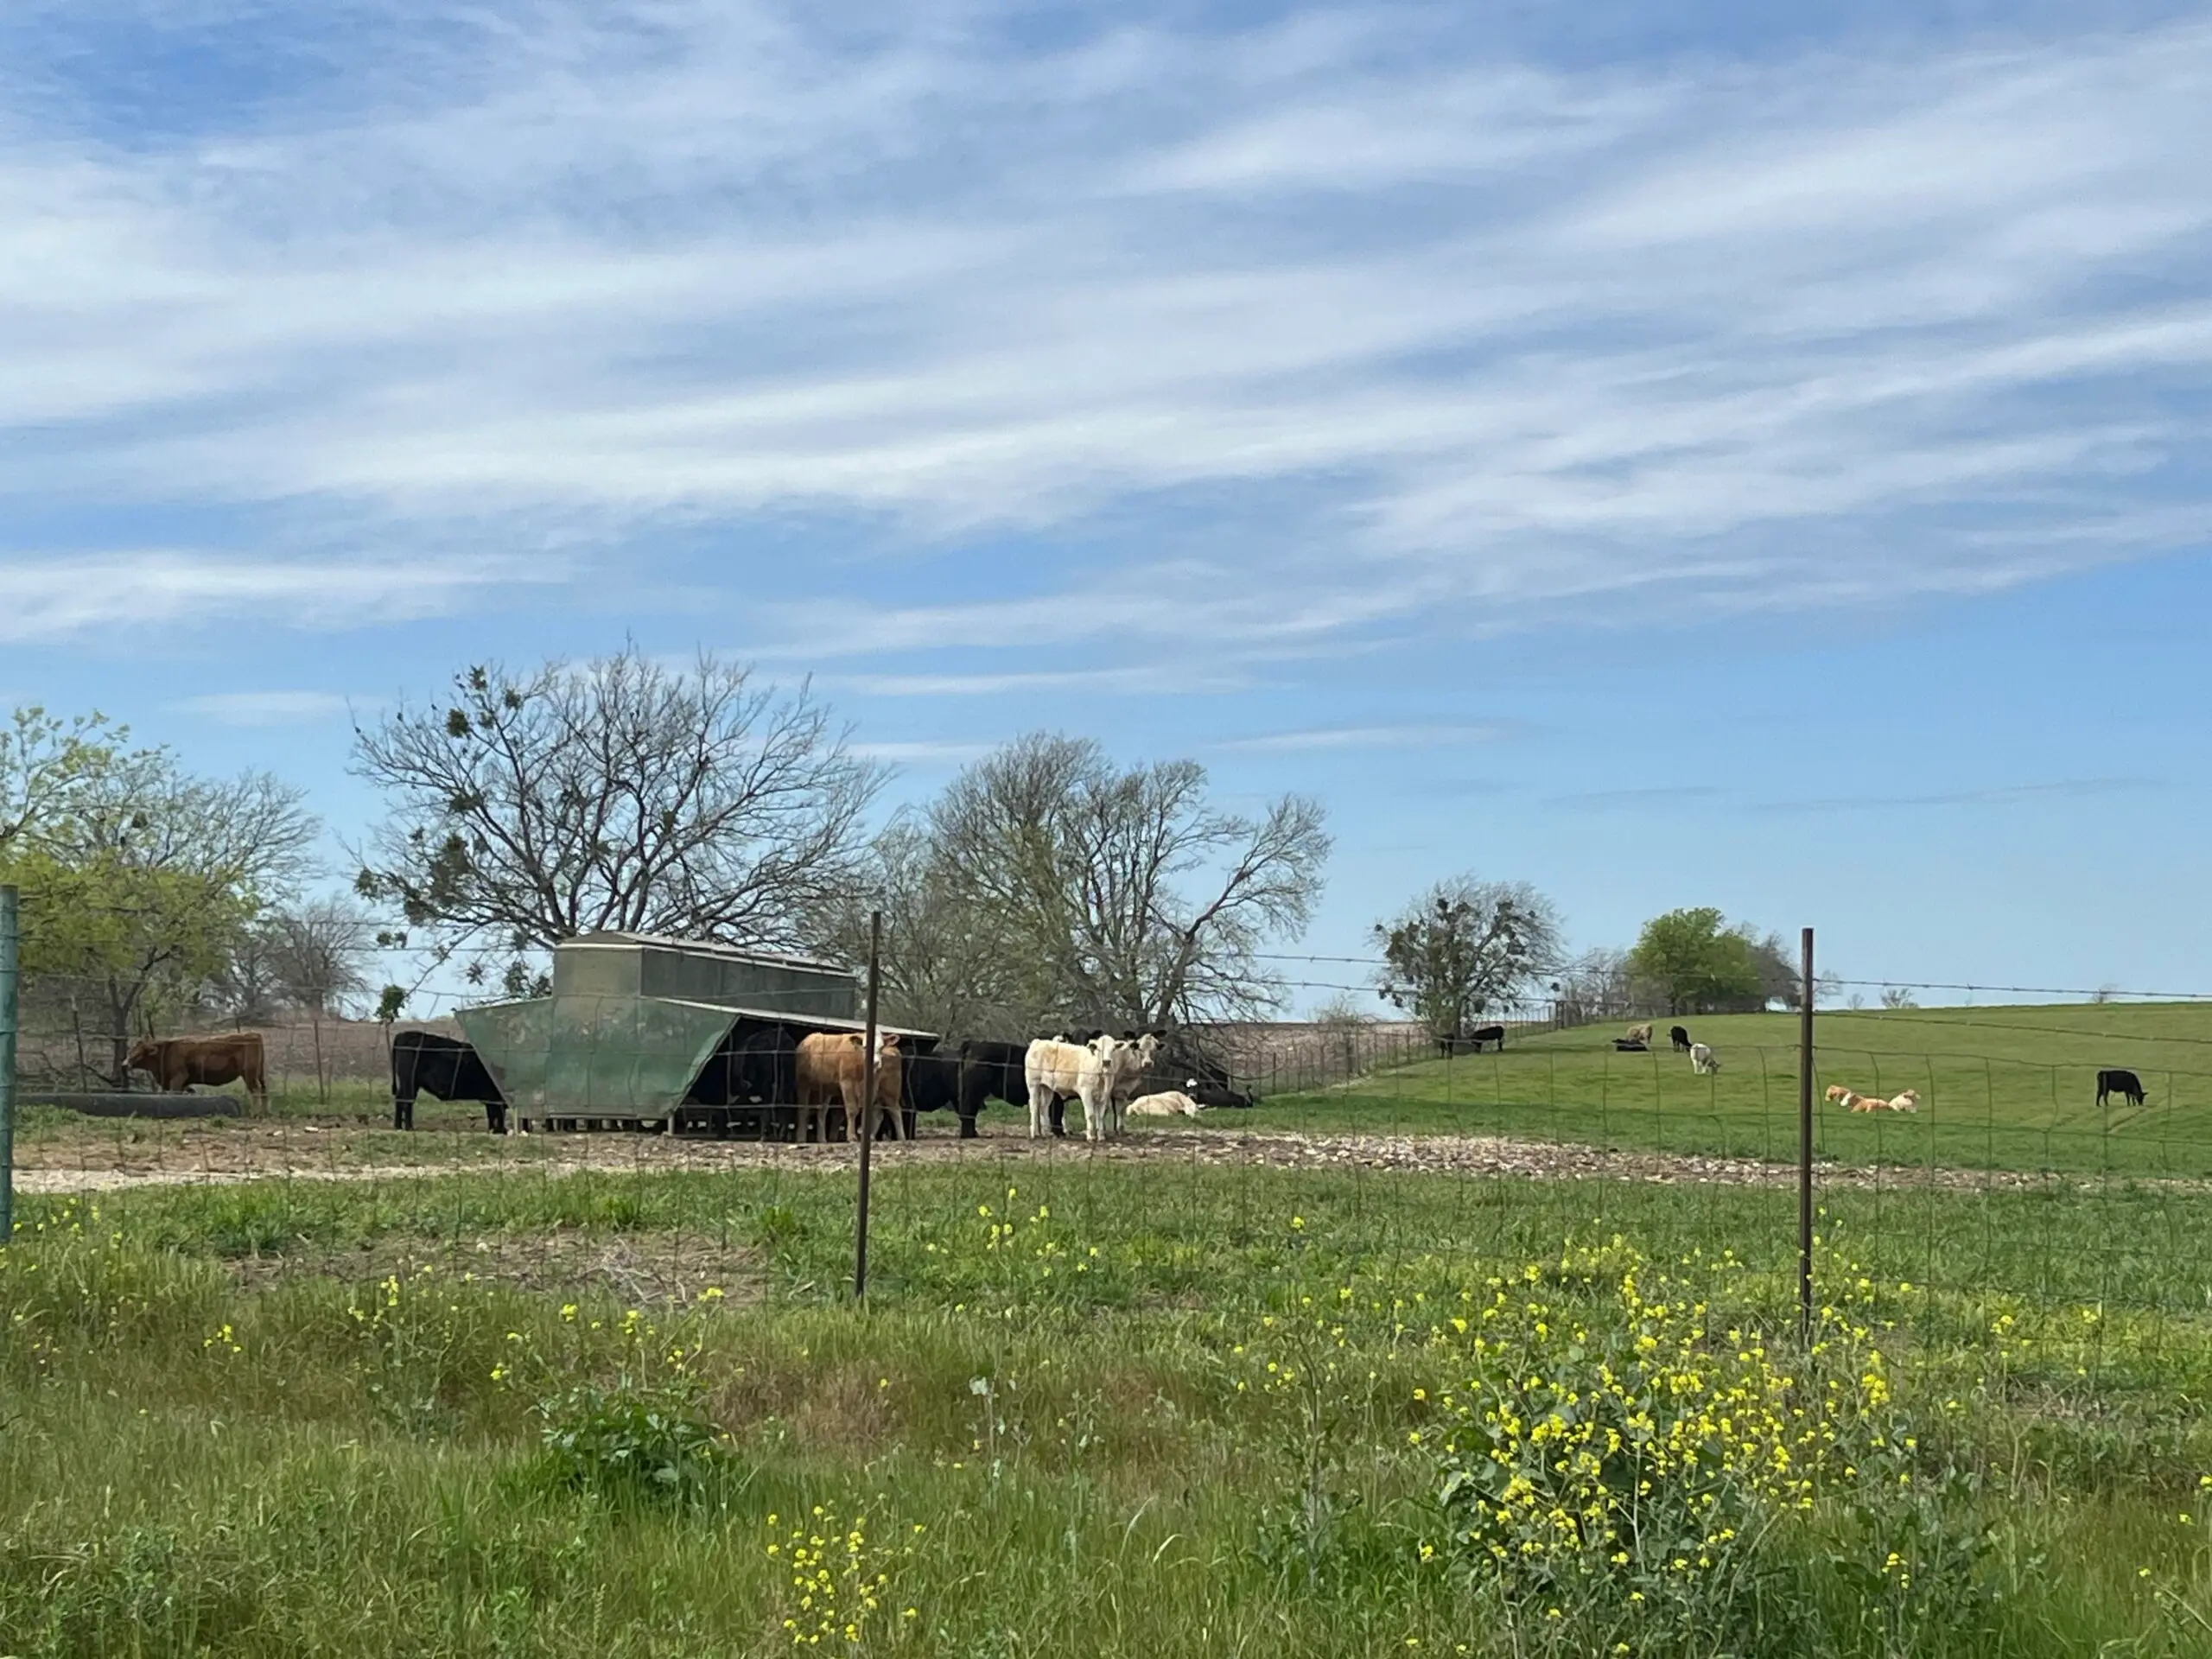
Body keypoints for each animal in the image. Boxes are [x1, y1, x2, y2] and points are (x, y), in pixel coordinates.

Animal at [125, 1039, 267, 1119]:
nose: (125, 1064)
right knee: (263, 1090)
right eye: (130, 1051)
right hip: (258, 1075)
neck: (166, 1052)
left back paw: (256, 1114)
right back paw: (263, 1113)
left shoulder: (178, 1077)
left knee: (256, 1091)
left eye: (138, 1053)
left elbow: (175, 1094)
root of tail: (254, 1035)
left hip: (249, 1075)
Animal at [393, 1035, 508, 1141]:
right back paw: (409, 1127)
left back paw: (398, 1126)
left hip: (408, 1084)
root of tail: (403, 1035)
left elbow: (492, 1114)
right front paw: (500, 1130)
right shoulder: (494, 1097)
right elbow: (497, 1113)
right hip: (409, 1082)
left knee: (400, 1099)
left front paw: (494, 1130)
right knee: (407, 1101)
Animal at [791, 1035, 902, 1150]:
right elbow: (852, 1110)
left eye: (881, 1047)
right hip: (805, 1084)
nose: (876, 1063)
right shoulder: (847, 1082)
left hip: (890, 1091)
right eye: (865, 1047)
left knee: (893, 1110)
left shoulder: (872, 1086)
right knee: (806, 1109)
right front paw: (852, 1137)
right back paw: (804, 1138)